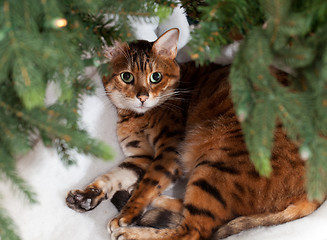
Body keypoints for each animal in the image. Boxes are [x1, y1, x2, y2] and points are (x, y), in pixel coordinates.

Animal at [66, 28, 326, 240]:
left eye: (156, 77)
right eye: (126, 76)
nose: (142, 97)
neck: (136, 117)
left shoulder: (168, 154)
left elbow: (147, 185)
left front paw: (126, 215)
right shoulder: (140, 157)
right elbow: (113, 176)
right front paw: (86, 196)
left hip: (216, 165)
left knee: (194, 231)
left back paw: (132, 232)